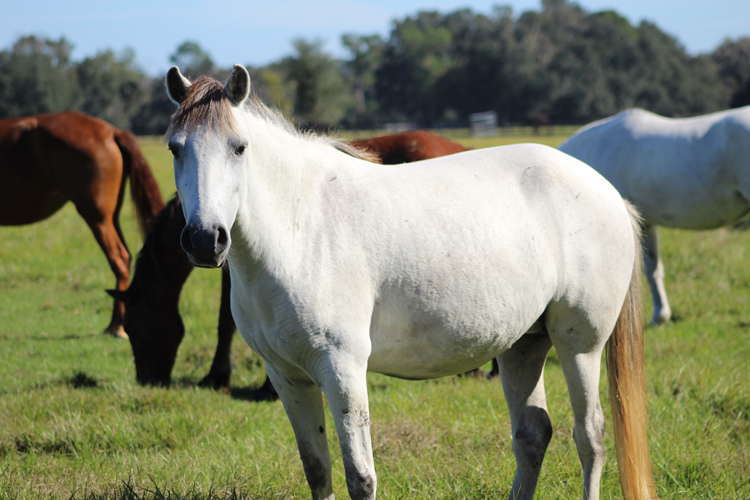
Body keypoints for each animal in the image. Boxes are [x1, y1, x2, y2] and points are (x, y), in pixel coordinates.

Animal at [164, 64, 656, 500]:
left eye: (239, 148)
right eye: (174, 148)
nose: (205, 239)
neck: (301, 227)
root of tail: (610, 192)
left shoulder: (342, 369)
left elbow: (360, 478)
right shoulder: (287, 377)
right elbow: (317, 470)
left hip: (579, 345)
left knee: (589, 436)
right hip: (523, 344)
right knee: (533, 434)